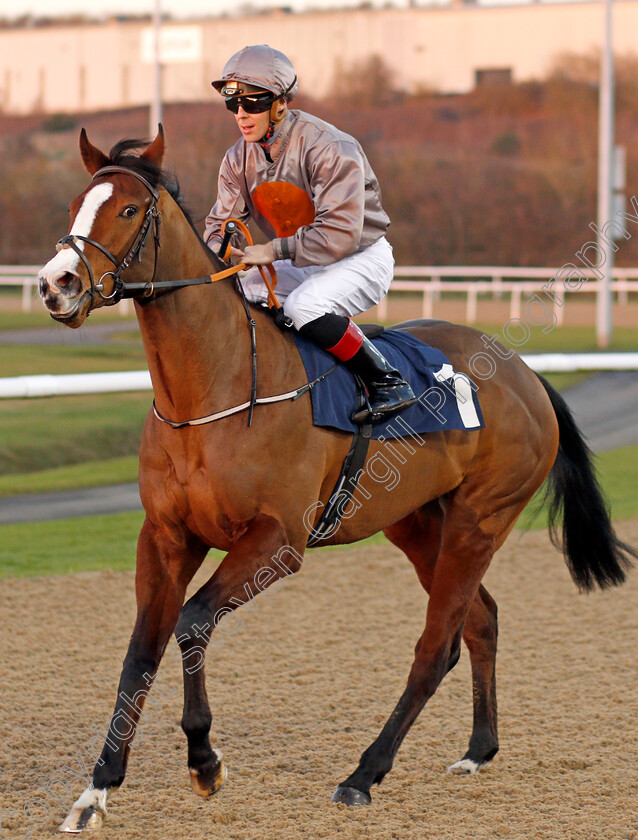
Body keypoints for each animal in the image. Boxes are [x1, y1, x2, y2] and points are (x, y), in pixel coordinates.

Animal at [38, 128, 636, 832]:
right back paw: (477, 750)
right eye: (76, 202)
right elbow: (140, 653)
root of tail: (524, 373)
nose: (55, 283)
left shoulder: (276, 542)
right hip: (418, 523)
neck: (215, 386)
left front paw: (205, 761)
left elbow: (191, 622)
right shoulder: (165, 537)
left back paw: (364, 773)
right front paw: (96, 790)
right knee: (480, 621)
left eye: (129, 209)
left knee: (436, 645)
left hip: (480, 519)